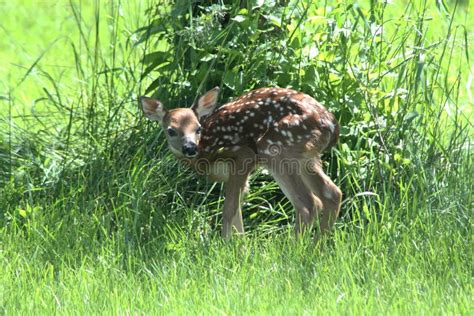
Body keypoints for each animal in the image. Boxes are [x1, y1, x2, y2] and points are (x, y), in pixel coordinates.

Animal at [139, 86, 342, 239]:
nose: (190, 148)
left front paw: (227, 247)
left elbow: (228, 210)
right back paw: (315, 248)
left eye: (198, 128)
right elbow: (236, 209)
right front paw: (240, 248)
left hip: (276, 146)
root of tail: (332, 125)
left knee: (308, 203)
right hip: (306, 157)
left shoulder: (243, 156)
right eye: (171, 130)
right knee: (331, 194)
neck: (206, 150)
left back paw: (294, 250)